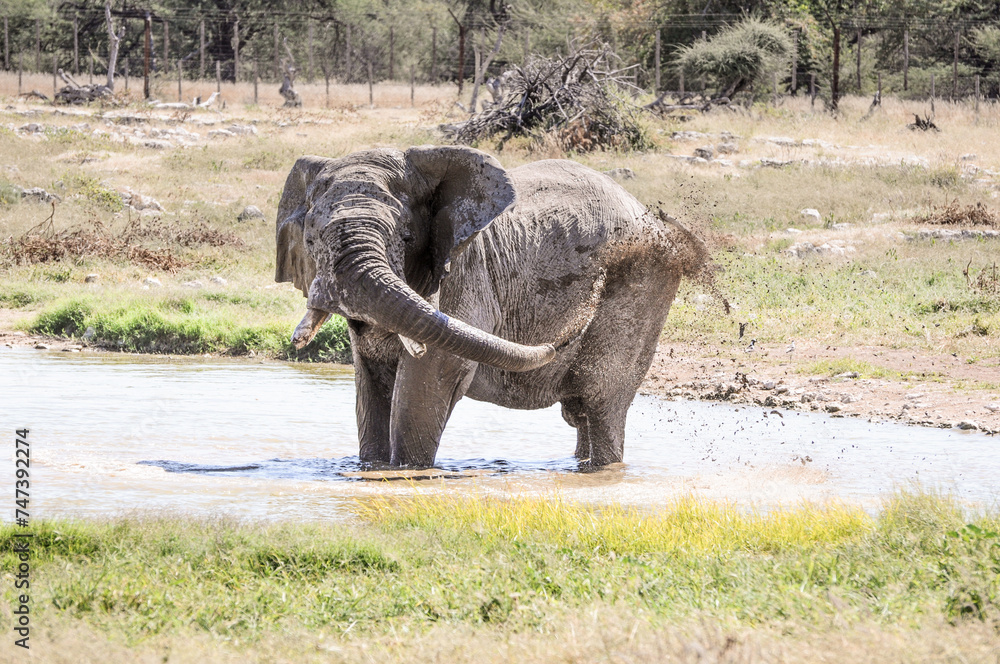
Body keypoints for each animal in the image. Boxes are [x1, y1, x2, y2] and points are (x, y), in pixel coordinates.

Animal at [275, 145, 705, 467]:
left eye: (407, 237)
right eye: (311, 240)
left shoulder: (465, 275)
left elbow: (431, 374)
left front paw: (406, 473)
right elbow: (372, 387)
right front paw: (373, 471)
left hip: (642, 281)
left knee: (601, 404)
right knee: (582, 414)